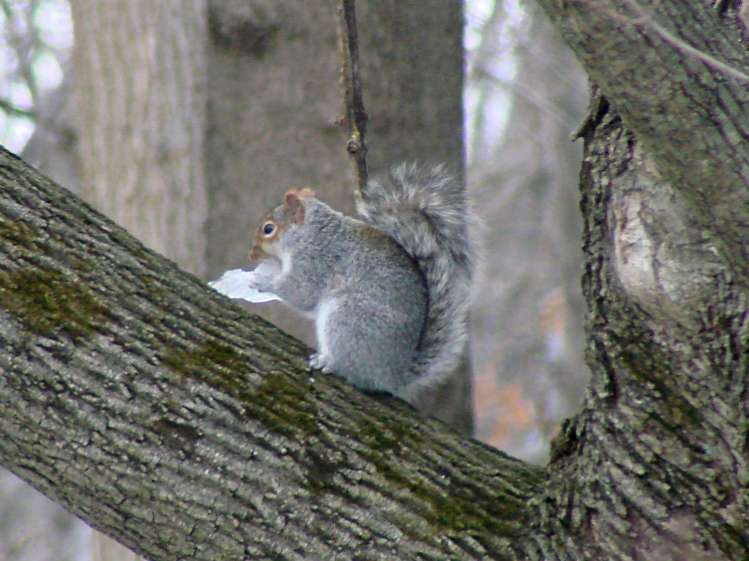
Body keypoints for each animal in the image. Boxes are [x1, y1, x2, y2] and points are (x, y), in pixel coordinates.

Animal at [248, 163, 473, 399]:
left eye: (268, 229)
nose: (251, 255)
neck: (309, 233)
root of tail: (393, 375)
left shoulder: (316, 261)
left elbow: (301, 292)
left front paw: (263, 282)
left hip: (349, 320)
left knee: (354, 371)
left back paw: (330, 363)